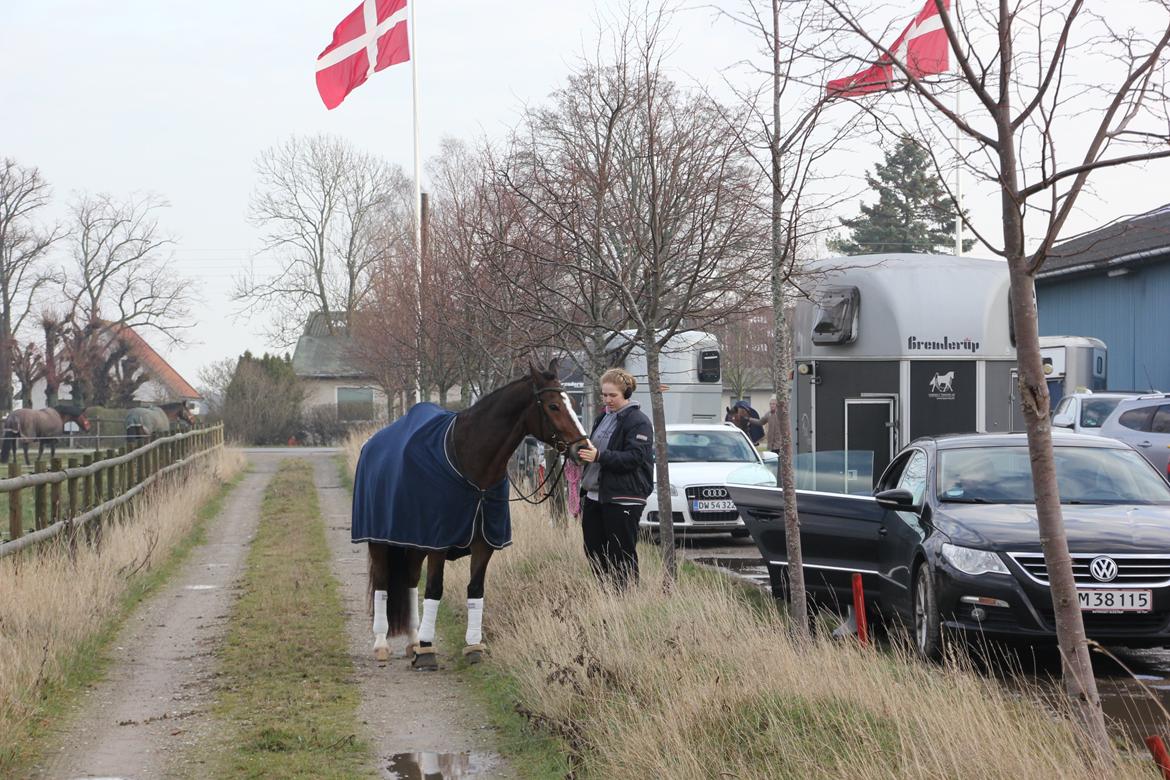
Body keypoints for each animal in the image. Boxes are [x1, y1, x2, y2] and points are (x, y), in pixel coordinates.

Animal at [343, 360, 585, 673]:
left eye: (574, 403)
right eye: (554, 405)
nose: (583, 448)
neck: (471, 466)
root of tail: (374, 445)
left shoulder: (483, 545)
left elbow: (475, 590)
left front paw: (472, 646)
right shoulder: (438, 542)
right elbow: (434, 590)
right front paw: (428, 649)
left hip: (413, 542)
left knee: (409, 581)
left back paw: (412, 640)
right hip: (381, 541)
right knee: (384, 583)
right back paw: (383, 644)